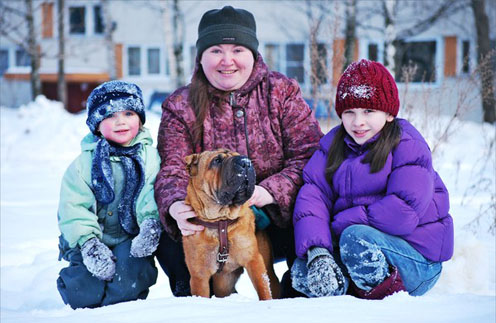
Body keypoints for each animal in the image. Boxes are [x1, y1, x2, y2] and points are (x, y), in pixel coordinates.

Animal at [183, 149, 280, 302]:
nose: (245, 162)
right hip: (223, 283)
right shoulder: (199, 276)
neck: (220, 222)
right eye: (216, 160)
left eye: (239, 155)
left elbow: (264, 289)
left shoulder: (254, 260)